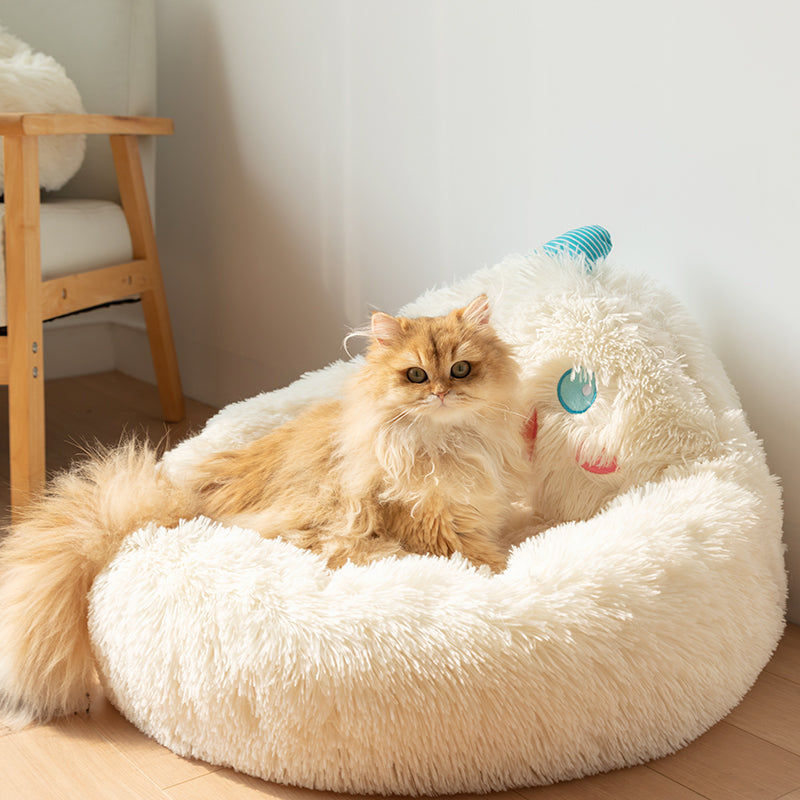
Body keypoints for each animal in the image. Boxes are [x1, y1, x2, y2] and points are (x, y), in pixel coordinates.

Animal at [0, 296, 532, 728]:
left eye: (460, 370)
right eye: (417, 375)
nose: (441, 393)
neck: (446, 444)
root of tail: (188, 503)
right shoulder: (433, 524)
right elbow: (485, 557)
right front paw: (503, 571)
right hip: (331, 523)